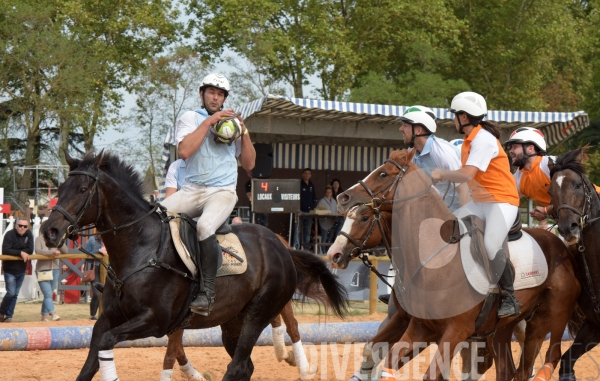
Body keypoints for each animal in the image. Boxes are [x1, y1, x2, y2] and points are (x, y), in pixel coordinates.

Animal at [42, 151, 346, 380]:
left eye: (82, 190)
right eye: (59, 190)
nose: (49, 232)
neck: (140, 246)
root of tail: (281, 246)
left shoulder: (154, 320)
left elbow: (107, 343)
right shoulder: (110, 319)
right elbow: (92, 358)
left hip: (258, 312)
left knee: (240, 364)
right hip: (232, 322)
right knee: (245, 365)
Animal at [336, 148, 580, 380]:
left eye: (383, 174)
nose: (343, 197)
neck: (435, 260)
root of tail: (560, 244)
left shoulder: (456, 331)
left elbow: (432, 373)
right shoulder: (419, 327)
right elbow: (386, 360)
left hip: (550, 318)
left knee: (548, 358)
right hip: (502, 329)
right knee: (510, 369)